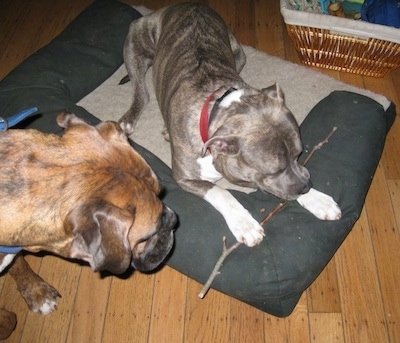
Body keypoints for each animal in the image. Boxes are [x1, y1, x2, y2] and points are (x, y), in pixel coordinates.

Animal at [0, 113, 177, 320]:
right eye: (148, 235)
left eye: (161, 193)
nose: (174, 219)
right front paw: (37, 293)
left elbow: (18, 263)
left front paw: (37, 292)